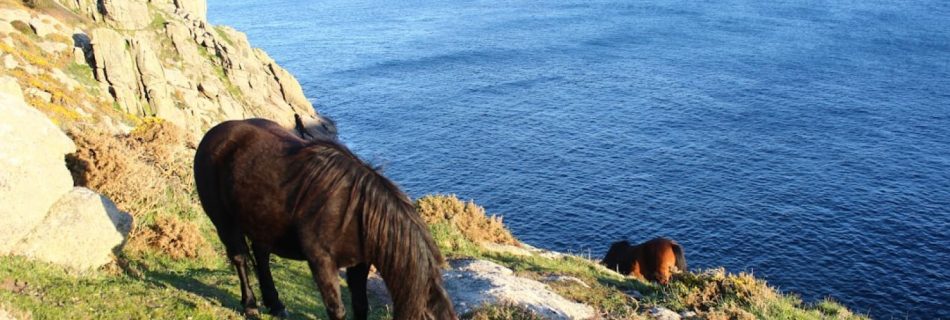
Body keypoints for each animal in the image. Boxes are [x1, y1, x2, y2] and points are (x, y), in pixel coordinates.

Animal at [194, 119, 458, 318]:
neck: (356, 212)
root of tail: (215, 133)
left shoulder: (359, 264)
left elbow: (360, 306)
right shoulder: (321, 263)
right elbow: (336, 309)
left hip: (262, 222)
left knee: (261, 256)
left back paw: (275, 305)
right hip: (224, 221)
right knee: (240, 258)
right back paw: (250, 306)